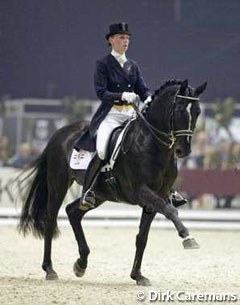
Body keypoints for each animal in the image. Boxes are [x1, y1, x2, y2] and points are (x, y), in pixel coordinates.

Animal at [18, 79, 206, 284]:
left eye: (197, 111)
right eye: (179, 109)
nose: (183, 151)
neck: (152, 145)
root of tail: (60, 132)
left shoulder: (157, 197)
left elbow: (142, 237)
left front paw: (138, 276)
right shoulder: (140, 191)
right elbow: (170, 211)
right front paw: (188, 238)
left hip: (99, 194)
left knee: (73, 212)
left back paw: (81, 263)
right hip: (58, 184)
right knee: (51, 220)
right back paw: (50, 270)